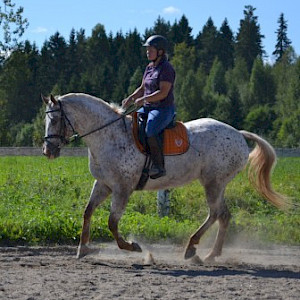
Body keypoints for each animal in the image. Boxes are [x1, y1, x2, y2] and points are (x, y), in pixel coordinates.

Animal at [42, 92, 288, 262]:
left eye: (54, 120)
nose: (47, 151)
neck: (109, 136)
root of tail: (238, 133)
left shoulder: (122, 188)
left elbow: (112, 222)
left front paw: (133, 246)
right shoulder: (103, 184)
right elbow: (87, 212)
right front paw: (83, 249)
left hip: (213, 183)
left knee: (216, 213)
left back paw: (192, 248)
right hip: (218, 184)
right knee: (224, 215)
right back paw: (210, 254)